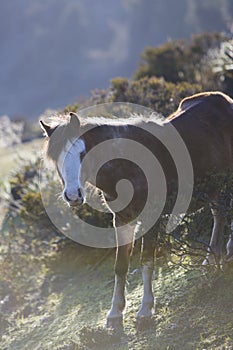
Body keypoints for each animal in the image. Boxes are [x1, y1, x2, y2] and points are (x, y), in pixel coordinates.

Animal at [39, 90, 233, 328]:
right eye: (56, 158)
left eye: (82, 153)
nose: (73, 195)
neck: (127, 167)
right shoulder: (121, 220)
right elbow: (120, 266)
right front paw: (115, 313)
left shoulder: (152, 217)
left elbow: (146, 260)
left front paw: (146, 310)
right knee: (219, 215)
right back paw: (212, 259)